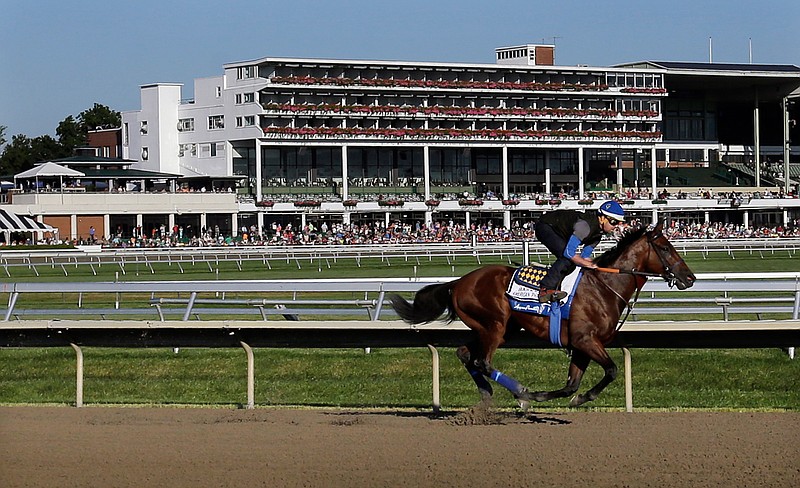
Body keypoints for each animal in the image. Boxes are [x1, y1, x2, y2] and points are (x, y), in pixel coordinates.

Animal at [388, 221, 692, 408]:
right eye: (665, 248)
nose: (689, 278)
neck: (605, 286)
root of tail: (458, 282)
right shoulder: (585, 341)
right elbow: (613, 370)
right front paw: (546, 396)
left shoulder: (581, 346)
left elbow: (571, 385)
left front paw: (563, 397)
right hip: (494, 325)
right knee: (482, 361)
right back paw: (520, 393)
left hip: (498, 328)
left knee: (465, 354)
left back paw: (489, 394)